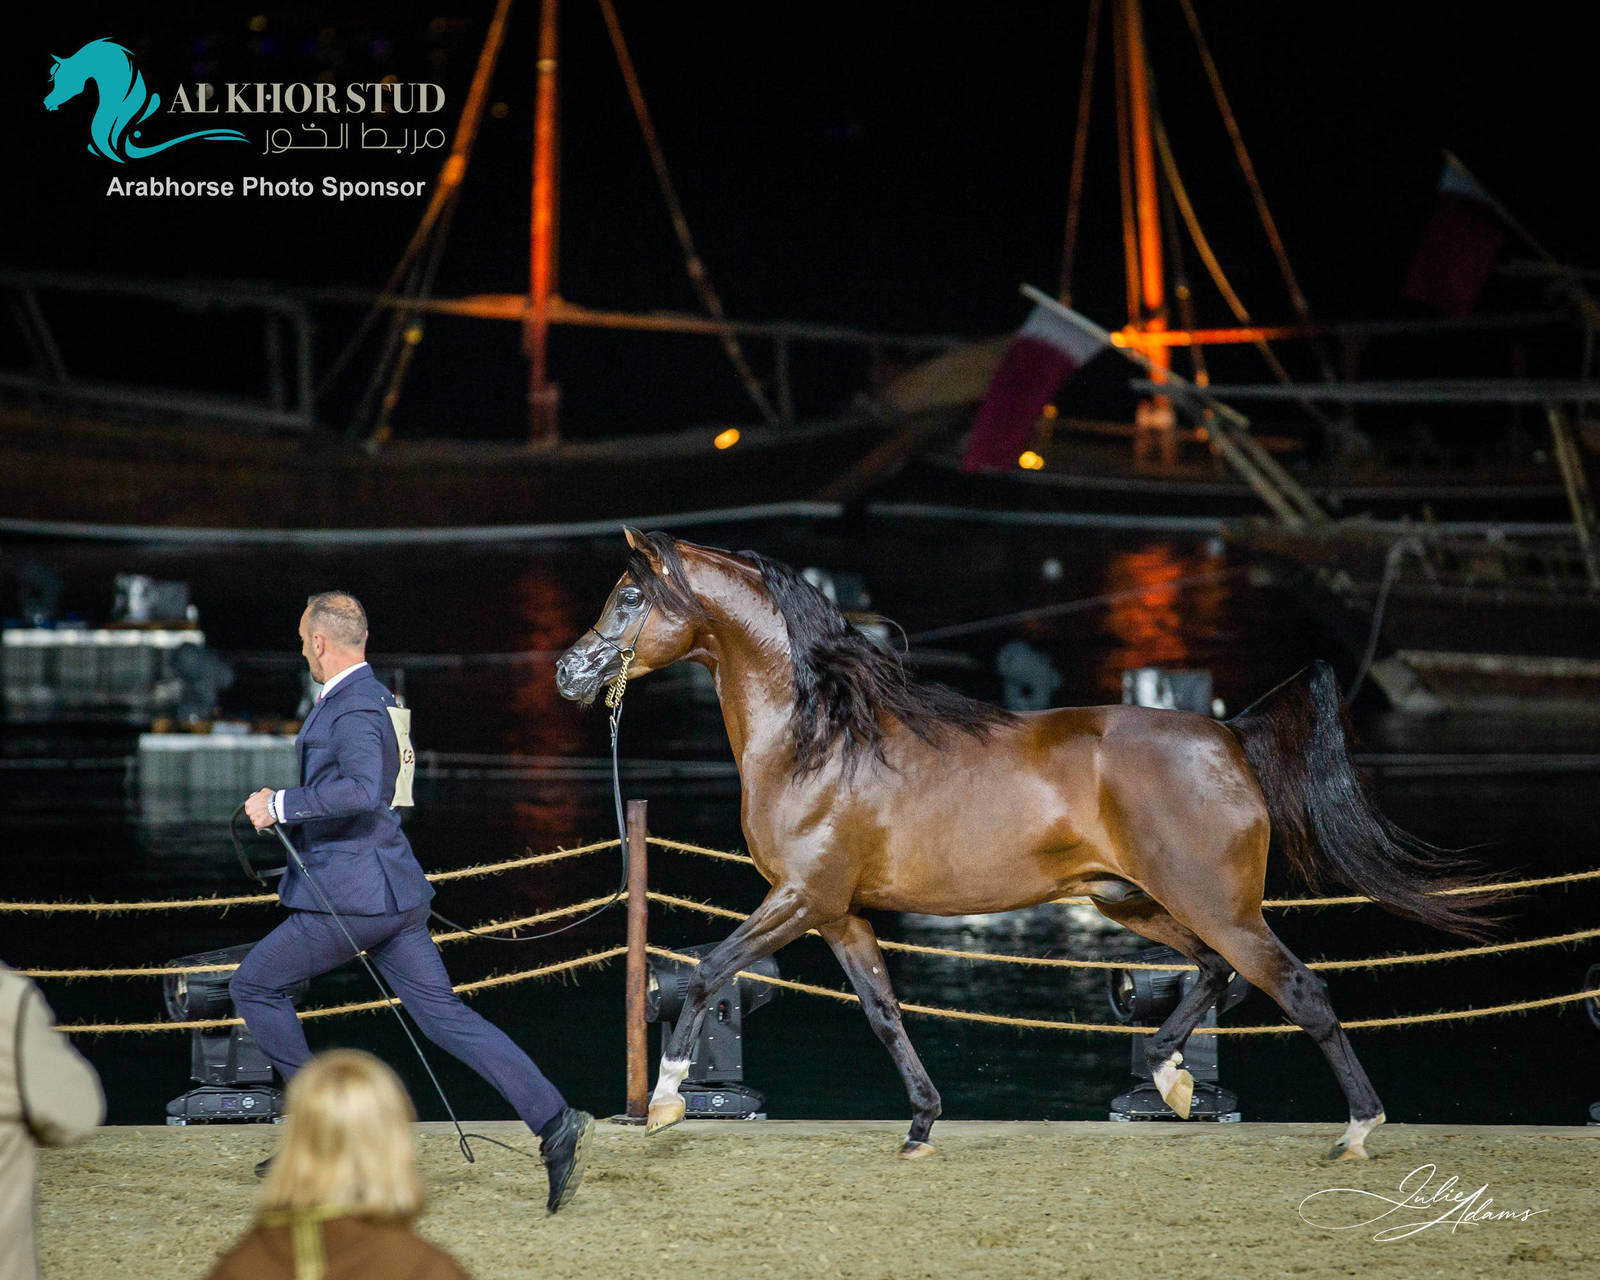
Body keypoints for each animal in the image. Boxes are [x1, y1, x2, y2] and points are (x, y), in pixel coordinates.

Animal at [555, 529, 1496, 1161]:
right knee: (1213, 976)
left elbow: (707, 974)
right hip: (1136, 900)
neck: (818, 738)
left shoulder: (800, 897)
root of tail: (1230, 738)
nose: (569, 673)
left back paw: (1355, 1130)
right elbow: (884, 1012)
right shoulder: (840, 914)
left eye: (629, 600)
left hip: (1215, 904)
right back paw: (1170, 1079)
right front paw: (922, 1123)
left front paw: (666, 1100)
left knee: (1296, 988)